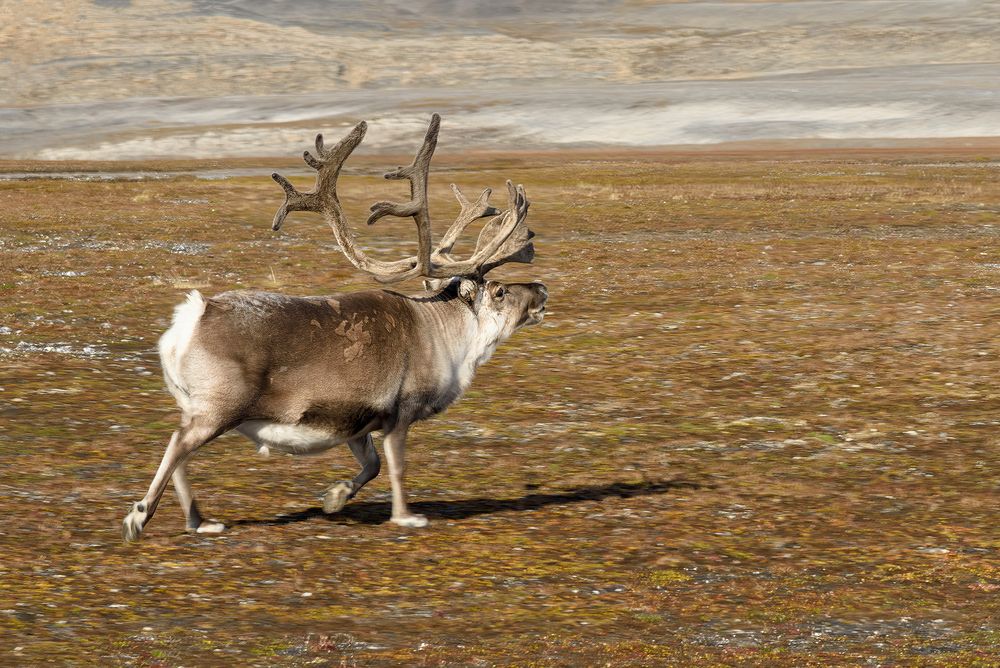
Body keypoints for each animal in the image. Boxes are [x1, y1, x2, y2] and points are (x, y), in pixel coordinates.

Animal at [121, 114, 548, 541]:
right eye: (498, 291)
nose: (542, 289)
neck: (443, 334)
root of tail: (192, 317)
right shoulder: (400, 413)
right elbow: (396, 466)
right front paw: (405, 516)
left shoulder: (357, 422)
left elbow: (372, 466)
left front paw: (334, 497)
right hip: (219, 407)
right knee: (178, 443)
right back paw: (139, 516)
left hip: (195, 405)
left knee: (181, 449)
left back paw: (199, 520)